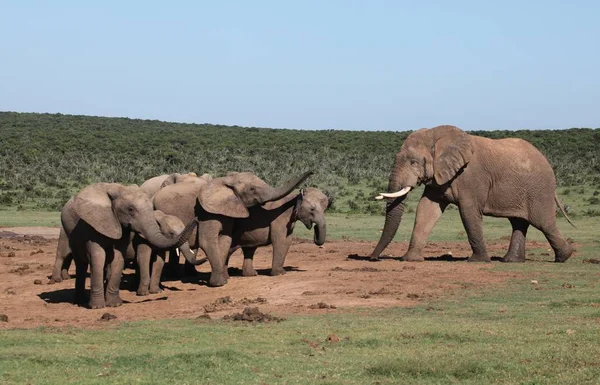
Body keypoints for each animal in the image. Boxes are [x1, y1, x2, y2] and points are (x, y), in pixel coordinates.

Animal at [59, 182, 195, 308]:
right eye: (130, 209)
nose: (196, 219)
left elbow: (123, 259)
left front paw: (115, 304)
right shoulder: (94, 224)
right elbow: (99, 257)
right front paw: (98, 307)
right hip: (69, 232)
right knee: (81, 264)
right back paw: (80, 302)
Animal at [152, 170, 314, 284]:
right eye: (252, 189)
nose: (311, 172)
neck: (226, 181)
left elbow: (225, 240)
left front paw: (224, 280)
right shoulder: (206, 211)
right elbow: (207, 241)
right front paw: (219, 283)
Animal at [372, 124, 576, 262]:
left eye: (414, 162)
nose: (373, 257)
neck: (437, 135)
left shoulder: (471, 176)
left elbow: (468, 212)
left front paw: (478, 261)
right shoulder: (439, 176)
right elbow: (426, 210)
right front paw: (410, 259)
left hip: (539, 190)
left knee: (543, 223)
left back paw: (564, 257)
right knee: (519, 222)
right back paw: (511, 261)